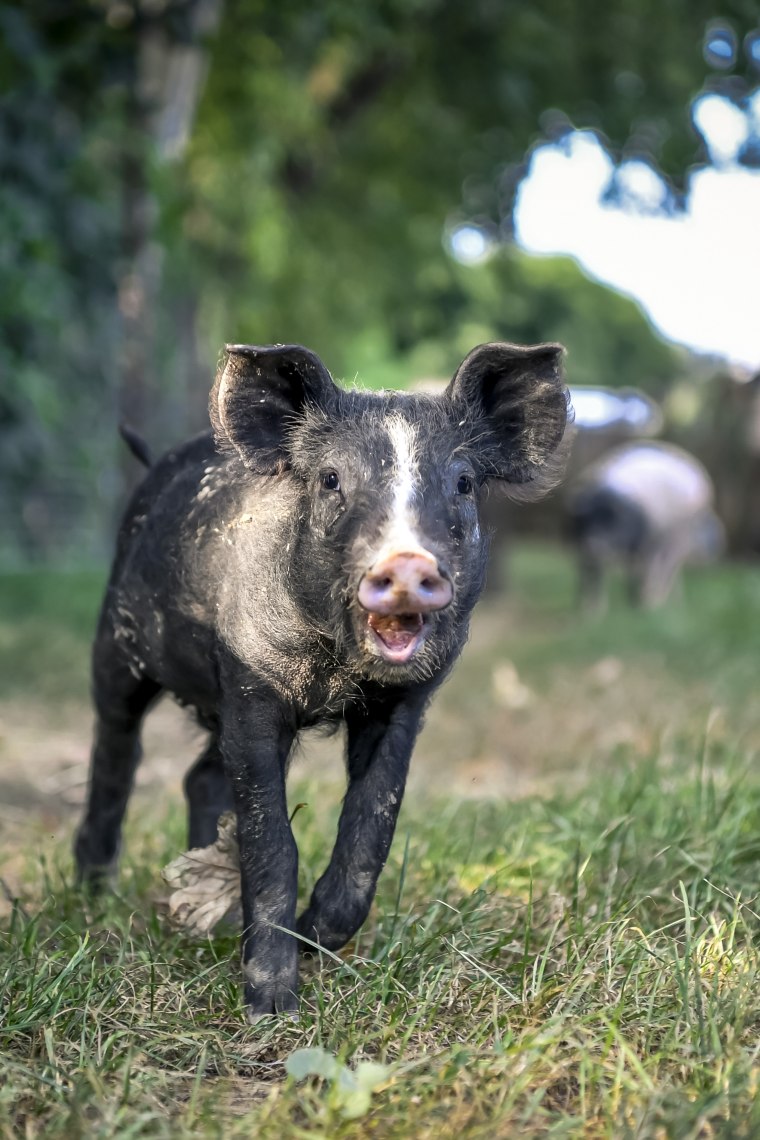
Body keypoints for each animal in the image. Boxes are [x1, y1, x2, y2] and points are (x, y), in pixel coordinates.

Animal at [74, 341, 569, 1020]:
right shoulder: (251, 686)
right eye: (332, 479)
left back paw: (200, 910)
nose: (406, 561)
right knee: (116, 751)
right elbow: (271, 841)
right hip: (116, 644)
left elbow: (372, 824)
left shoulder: (403, 705)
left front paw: (314, 938)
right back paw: (93, 896)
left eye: (464, 483)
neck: (335, 676)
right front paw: (272, 1009)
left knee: (200, 775)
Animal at [567, 440, 723, 610]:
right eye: (586, 520)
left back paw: (660, 603)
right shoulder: (583, 546)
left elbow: (644, 572)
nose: (593, 544)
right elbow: (591, 575)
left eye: (610, 522)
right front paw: (589, 611)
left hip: (679, 538)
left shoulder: (649, 543)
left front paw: (643, 606)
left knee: (667, 568)